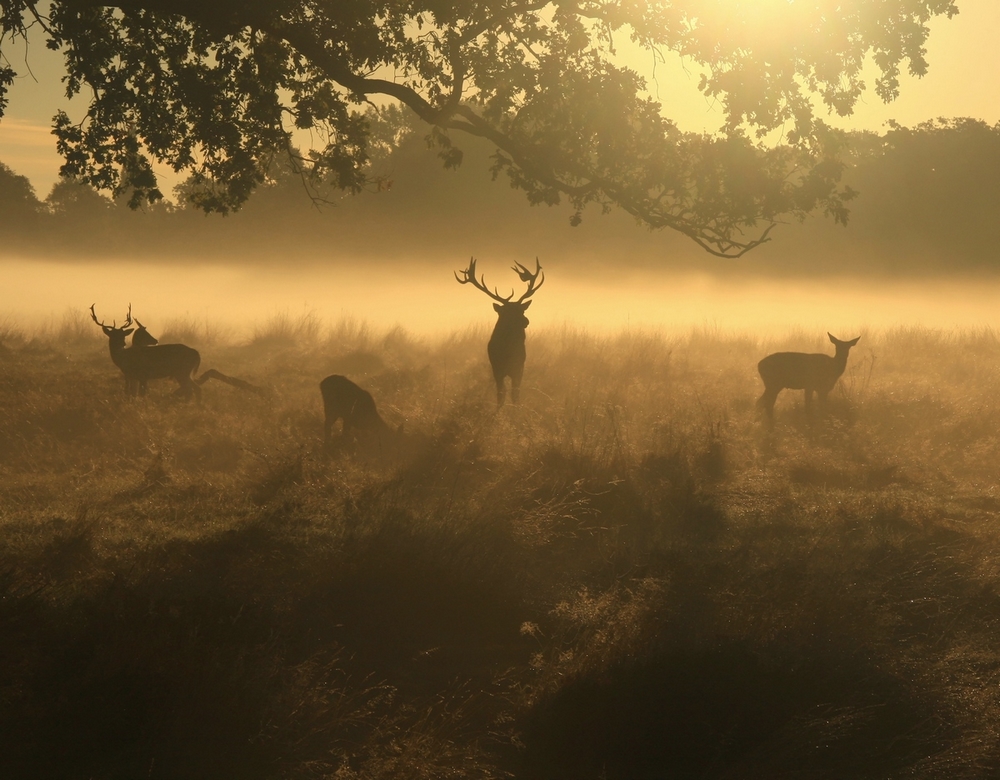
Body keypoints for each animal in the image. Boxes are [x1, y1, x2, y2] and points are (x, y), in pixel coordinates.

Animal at [456, 258, 544, 408]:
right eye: (508, 312)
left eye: (522, 310)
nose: (526, 321)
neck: (507, 352)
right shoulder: (497, 369)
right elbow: (500, 395)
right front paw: (498, 412)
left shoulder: (518, 368)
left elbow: (515, 395)